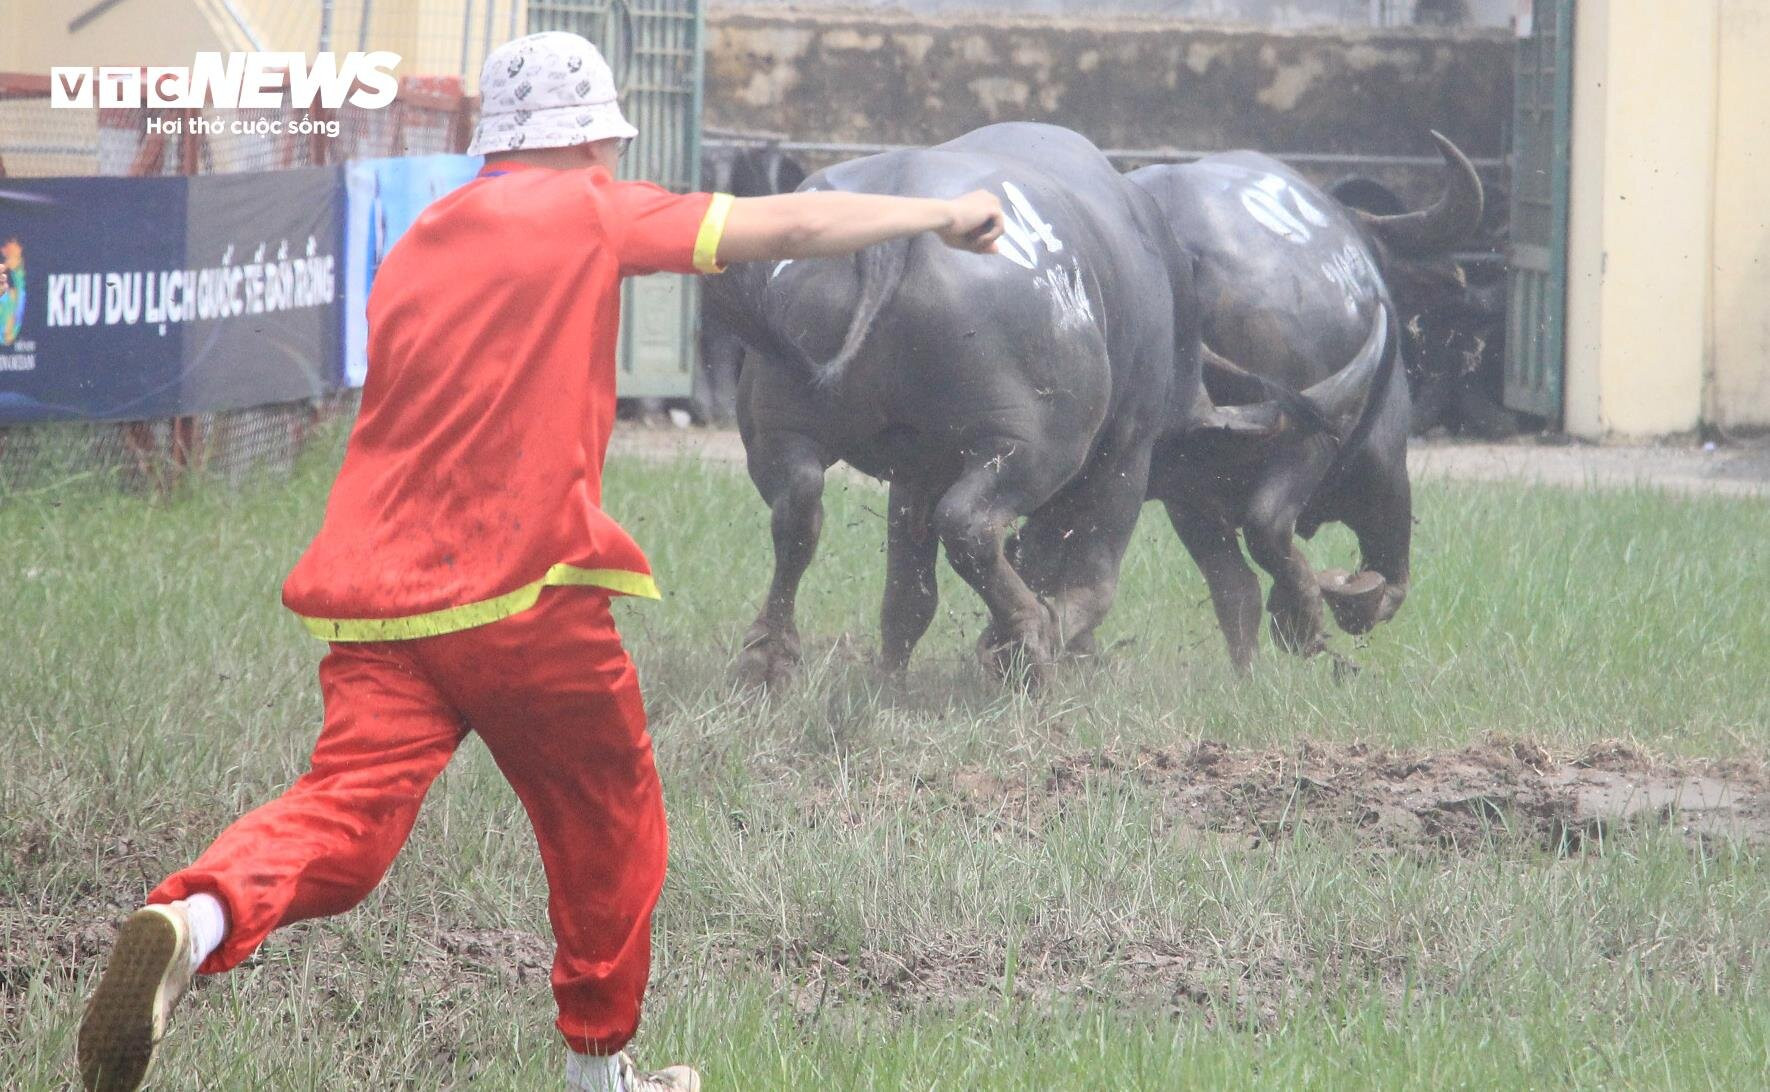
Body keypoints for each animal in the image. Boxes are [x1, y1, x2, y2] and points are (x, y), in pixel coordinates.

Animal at [704, 123, 1217, 686]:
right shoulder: (1126, 453)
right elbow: (1090, 579)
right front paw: (1032, 640)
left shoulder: (916, 471)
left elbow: (908, 594)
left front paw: (891, 681)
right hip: (1028, 448)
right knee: (970, 525)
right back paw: (1026, 637)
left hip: (780, 428)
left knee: (797, 509)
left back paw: (768, 657)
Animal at [1125, 132, 1486, 669]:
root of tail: (1181, 253)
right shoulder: (1385, 462)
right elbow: (1391, 571)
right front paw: (1348, 600)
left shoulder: (1189, 496)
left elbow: (1233, 587)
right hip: (1310, 439)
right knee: (1269, 525)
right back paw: (1305, 616)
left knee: (1236, 581)